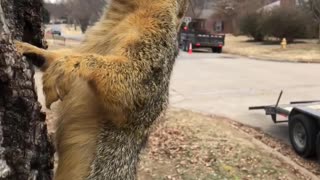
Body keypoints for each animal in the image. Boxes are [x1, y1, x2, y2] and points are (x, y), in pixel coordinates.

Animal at [15, 0, 189, 179]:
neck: (126, 13)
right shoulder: (92, 39)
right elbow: (62, 54)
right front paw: (30, 48)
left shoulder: (156, 48)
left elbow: (133, 85)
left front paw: (70, 63)